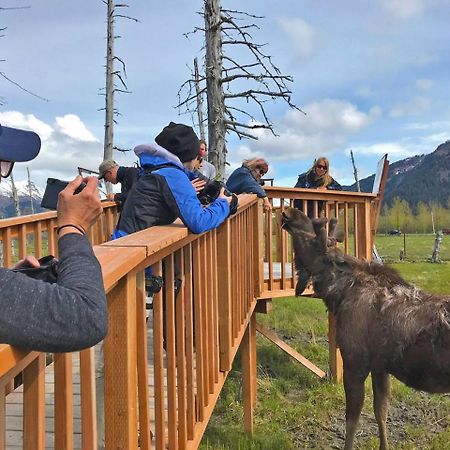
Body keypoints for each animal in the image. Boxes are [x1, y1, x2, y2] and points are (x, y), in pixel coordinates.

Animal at [282, 208, 450, 450]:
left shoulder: (355, 361)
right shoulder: (380, 366)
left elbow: (352, 420)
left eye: (312, 238)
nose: (290, 212)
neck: (337, 295)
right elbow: (381, 412)